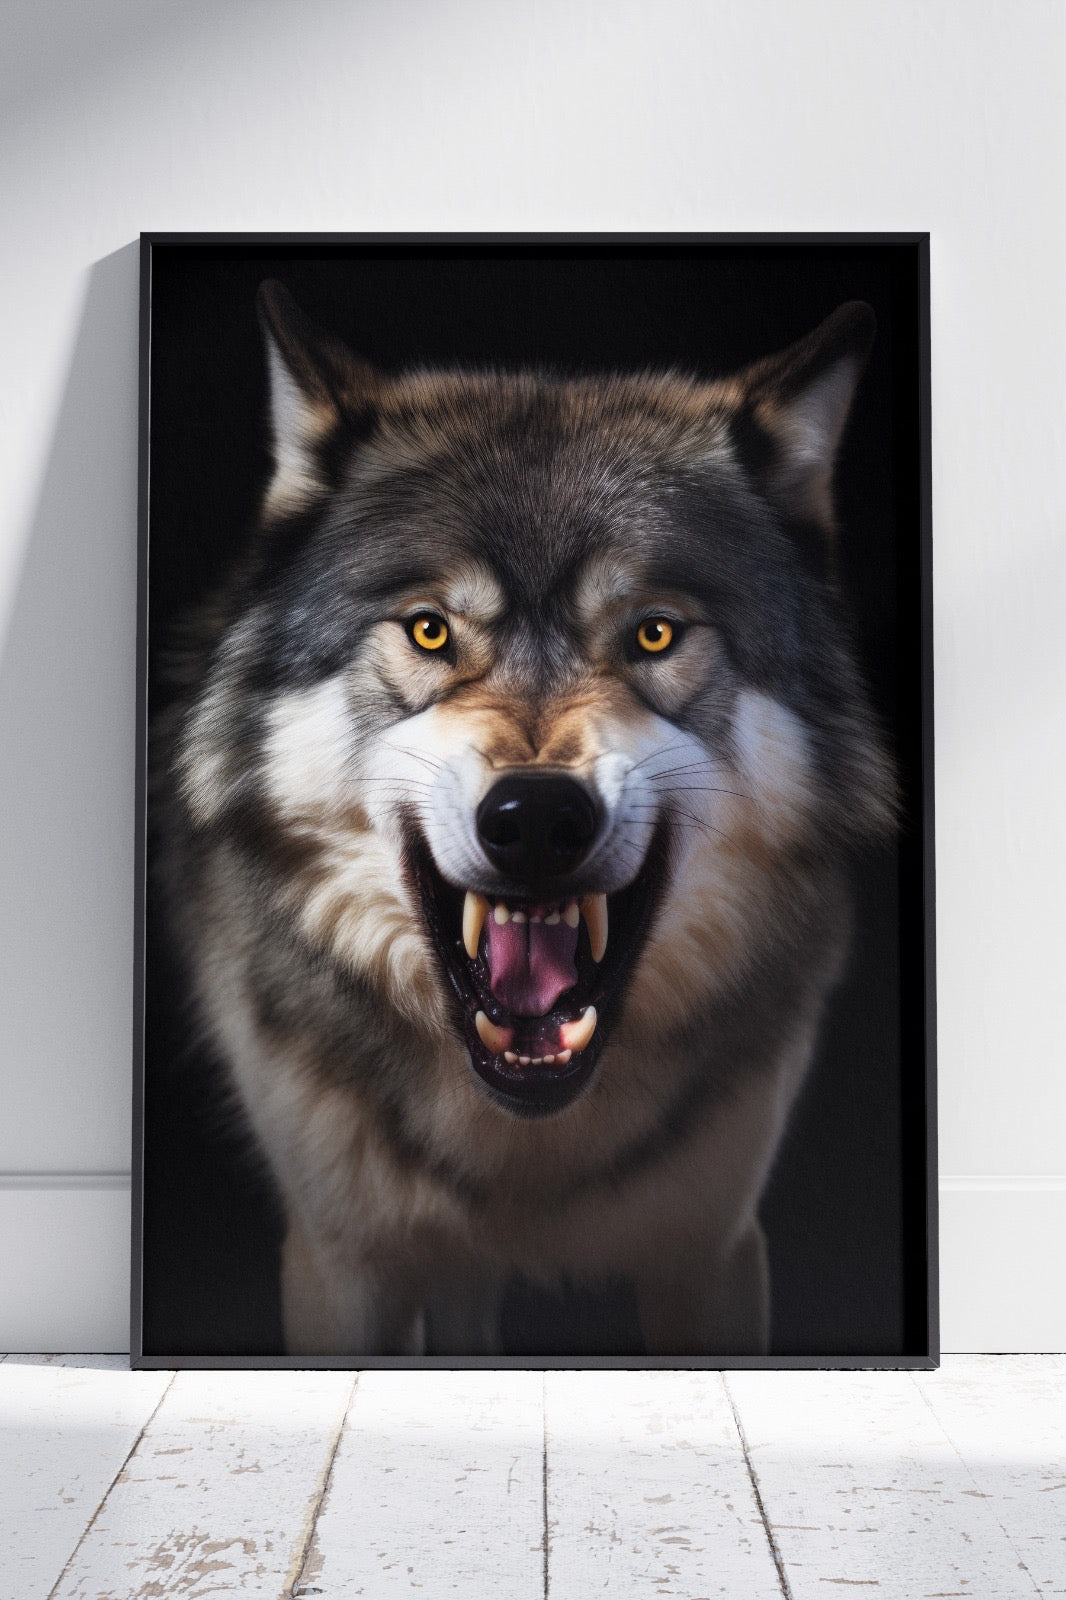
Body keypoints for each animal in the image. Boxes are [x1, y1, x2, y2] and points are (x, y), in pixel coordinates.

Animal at [157, 280, 894, 1357]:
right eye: (429, 630)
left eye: (654, 633)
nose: (539, 817)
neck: (522, 1138)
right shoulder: (340, 1261)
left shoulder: (712, 1245)